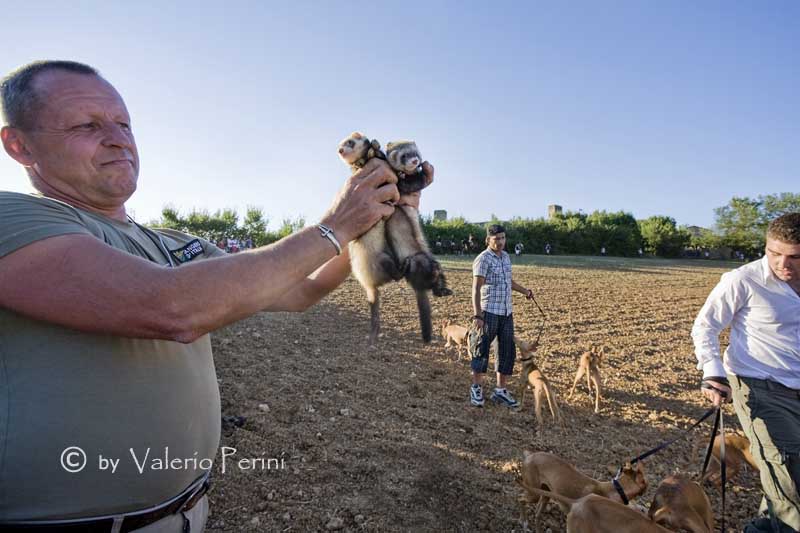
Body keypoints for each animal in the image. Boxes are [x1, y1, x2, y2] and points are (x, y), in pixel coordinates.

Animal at [516, 450, 648, 528]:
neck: (615, 489)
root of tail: (529, 455)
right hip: (534, 494)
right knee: (520, 499)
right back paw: (523, 521)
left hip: (545, 494)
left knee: (537, 514)